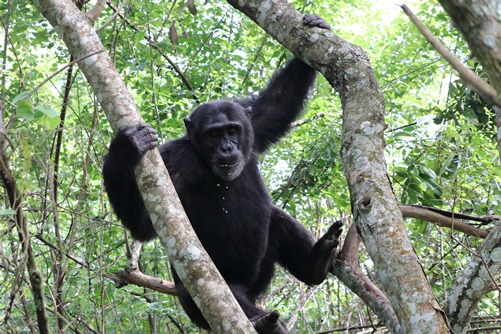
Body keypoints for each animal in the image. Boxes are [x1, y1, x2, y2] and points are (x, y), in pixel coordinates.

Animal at [103, 13, 342, 334]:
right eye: (213, 134)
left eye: (231, 130)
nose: (227, 147)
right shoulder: (172, 161)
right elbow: (144, 222)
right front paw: (125, 147)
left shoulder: (254, 124)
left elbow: (277, 103)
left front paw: (315, 27)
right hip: (209, 294)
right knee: (222, 294)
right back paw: (261, 321)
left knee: (276, 219)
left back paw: (317, 261)